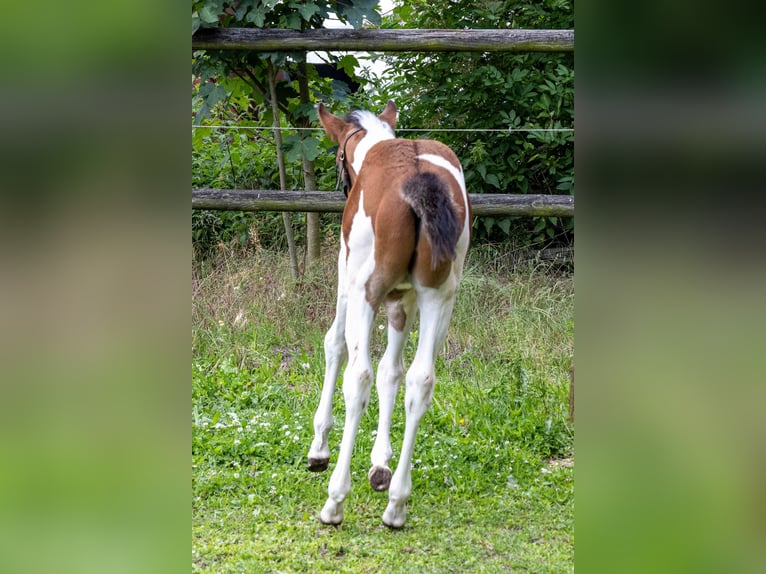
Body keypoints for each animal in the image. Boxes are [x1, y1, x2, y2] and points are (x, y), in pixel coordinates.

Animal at [307, 100, 472, 528]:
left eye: (339, 155)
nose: (344, 185)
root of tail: (419, 184)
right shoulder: (402, 301)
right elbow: (392, 371)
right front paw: (380, 464)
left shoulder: (347, 282)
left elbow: (336, 347)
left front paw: (319, 448)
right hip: (438, 298)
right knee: (420, 380)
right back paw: (397, 503)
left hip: (367, 291)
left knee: (359, 376)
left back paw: (335, 501)